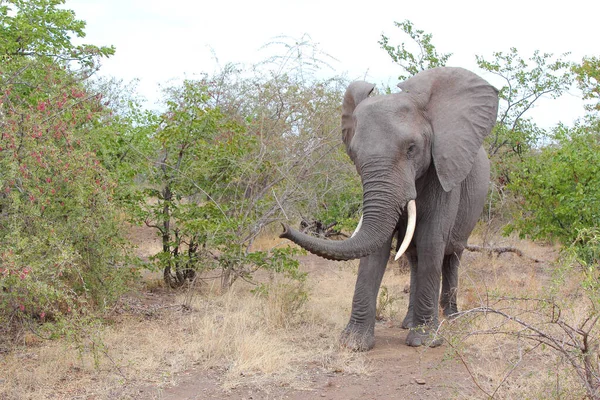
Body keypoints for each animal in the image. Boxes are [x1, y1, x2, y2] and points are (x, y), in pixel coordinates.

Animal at [282, 66, 496, 350]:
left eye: (412, 149)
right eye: (354, 154)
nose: (283, 228)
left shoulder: (444, 172)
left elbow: (431, 240)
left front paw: (425, 342)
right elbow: (377, 247)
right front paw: (354, 343)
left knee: (452, 255)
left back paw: (451, 319)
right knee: (414, 257)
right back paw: (408, 323)